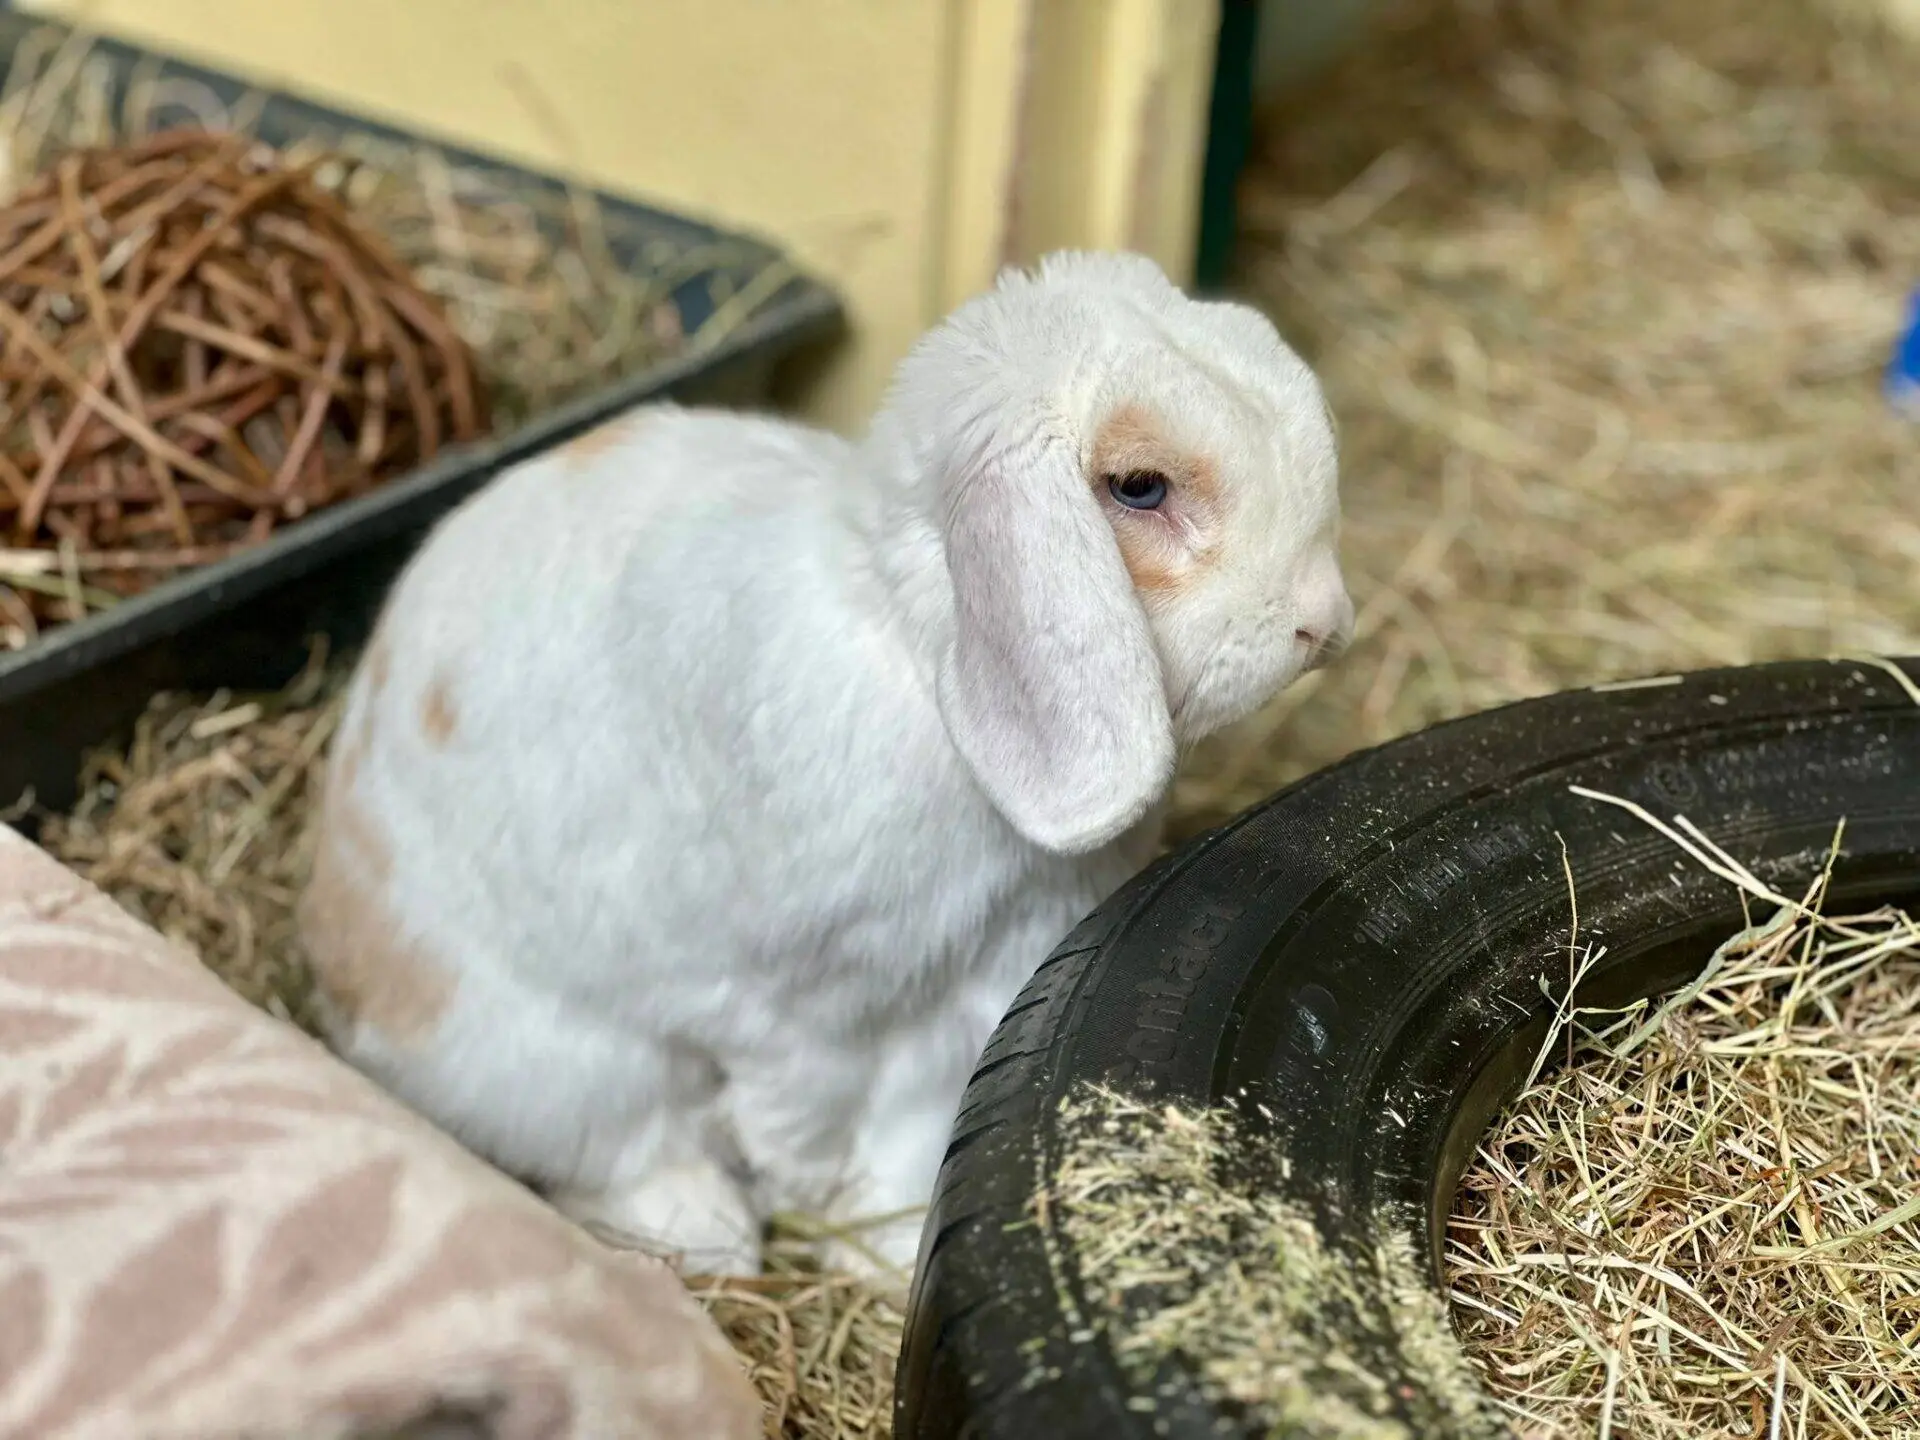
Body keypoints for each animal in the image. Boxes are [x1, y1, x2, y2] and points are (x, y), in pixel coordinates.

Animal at [295, 249, 1355, 1287]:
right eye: (1139, 487)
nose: (1324, 621)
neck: (920, 658)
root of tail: (337, 977)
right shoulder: (800, 1018)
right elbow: (806, 1125)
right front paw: (827, 1218)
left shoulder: (971, 993)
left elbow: (916, 1128)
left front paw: (893, 1246)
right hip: (556, 1063)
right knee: (616, 1151)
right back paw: (706, 1237)